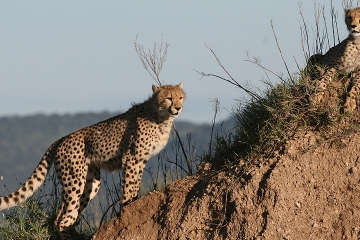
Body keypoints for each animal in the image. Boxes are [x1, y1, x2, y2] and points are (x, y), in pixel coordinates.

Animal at [0, 83, 186, 239]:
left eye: (181, 97)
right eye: (169, 98)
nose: (178, 107)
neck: (159, 116)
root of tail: (60, 140)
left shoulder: (141, 160)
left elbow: (135, 184)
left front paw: (133, 203)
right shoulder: (132, 158)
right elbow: (129, 186)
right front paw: (127, 207)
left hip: (91, 182)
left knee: (63, 216)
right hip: (74, 181)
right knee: (63, 219)